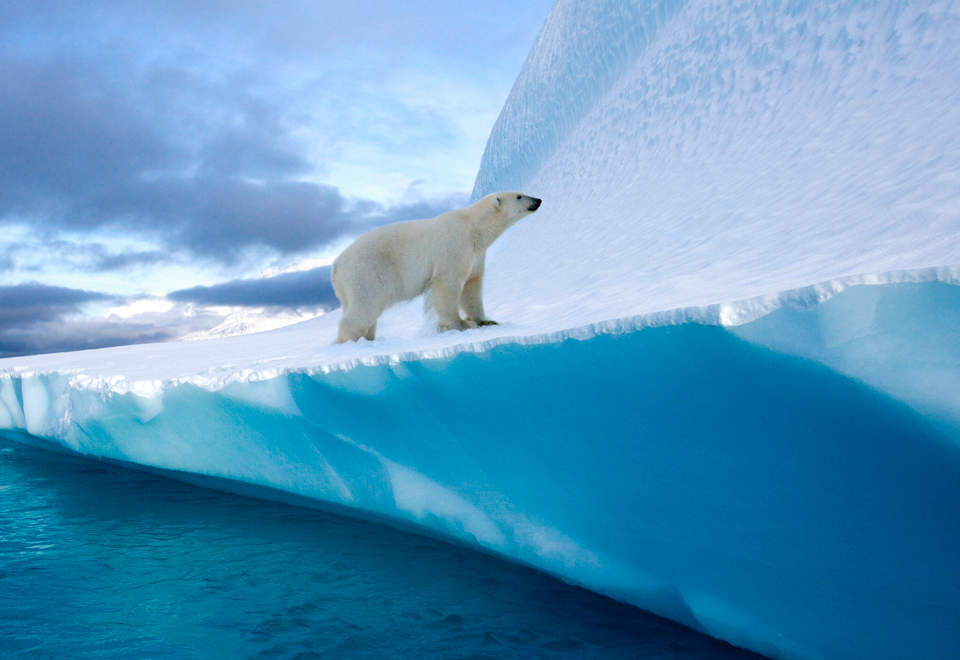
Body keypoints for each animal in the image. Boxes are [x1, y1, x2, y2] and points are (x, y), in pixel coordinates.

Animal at [331, 192, 542, 343]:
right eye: (519, 196)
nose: (538, 200)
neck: (473, 228)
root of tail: (336, 266)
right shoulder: (454, 246)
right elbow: (448, 284)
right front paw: (461, 324)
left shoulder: (475, 254)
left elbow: (472, 286)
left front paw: (486, 321)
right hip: (367, 273)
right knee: (367, 305)